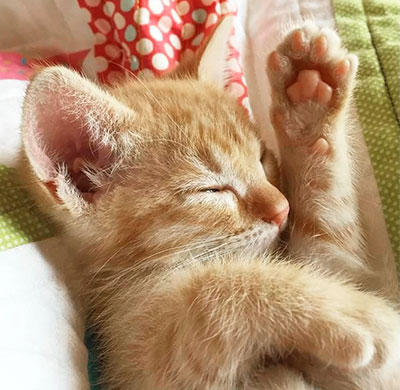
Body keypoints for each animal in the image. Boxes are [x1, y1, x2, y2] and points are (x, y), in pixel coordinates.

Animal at [19, 19, 400, 390]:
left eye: (262, 159)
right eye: (212, 190)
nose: (283, 209)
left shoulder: (336, 264)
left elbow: (330, 243)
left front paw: (309, 103)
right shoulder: (138, 356)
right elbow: (209, 292)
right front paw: (357, 316)